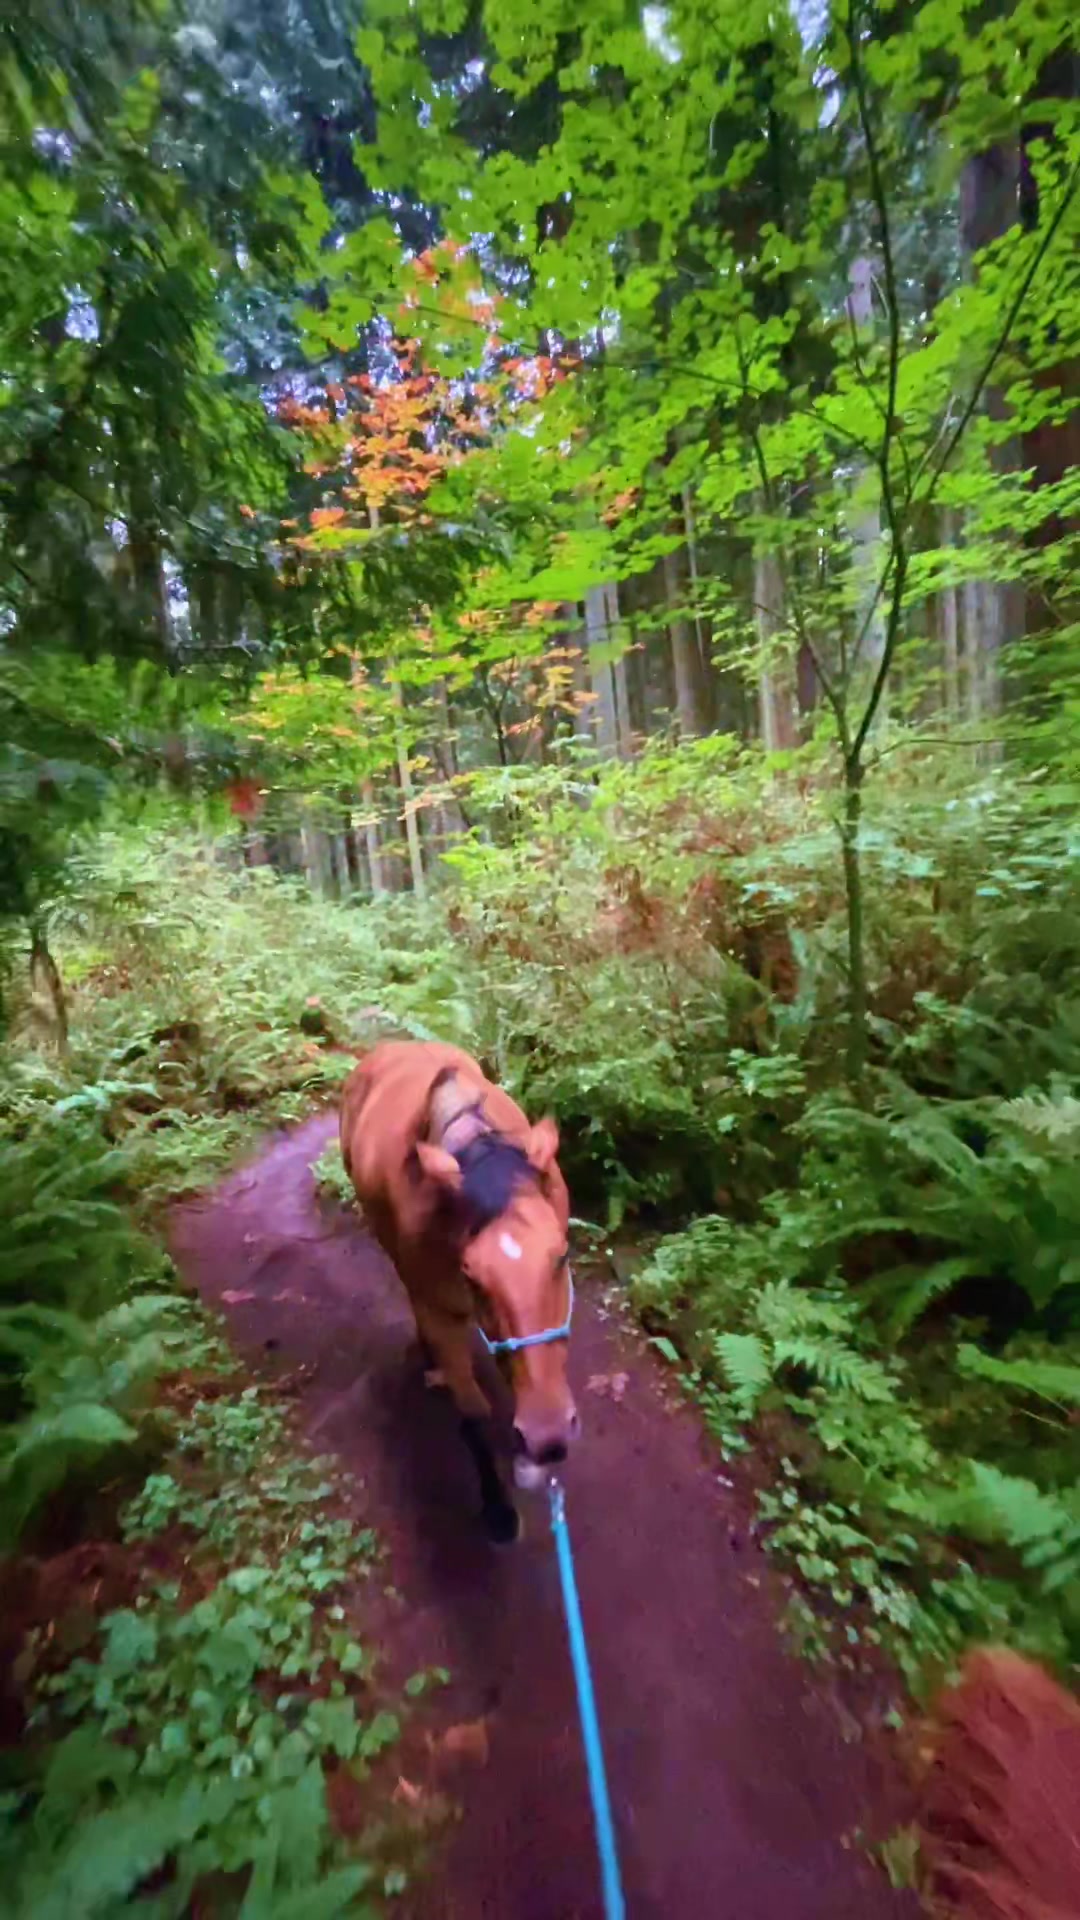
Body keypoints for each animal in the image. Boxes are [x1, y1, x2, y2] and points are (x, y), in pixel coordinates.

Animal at [339, 1040, 578, 1542]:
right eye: (472, 1274)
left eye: (562, 1255)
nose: (547, 1439)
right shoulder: (440, 1308)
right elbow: (472, 1414)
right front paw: (499, 1509)